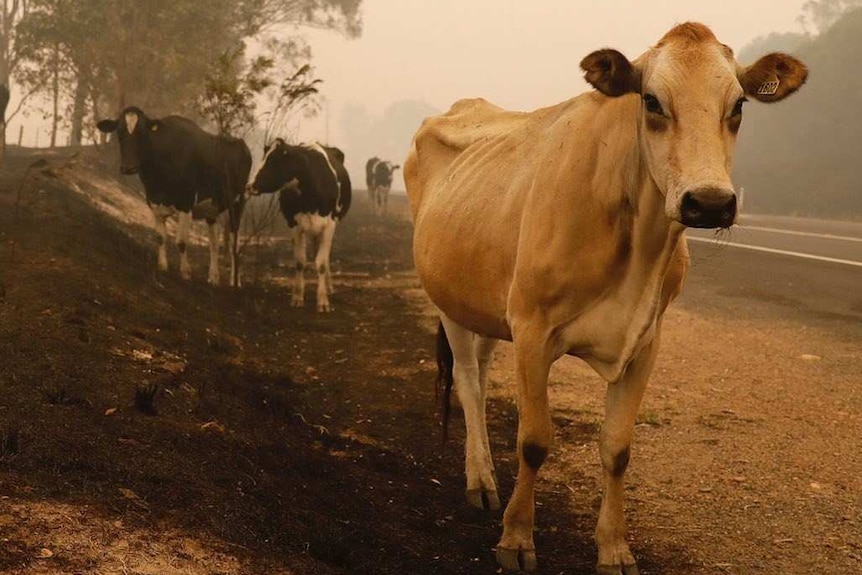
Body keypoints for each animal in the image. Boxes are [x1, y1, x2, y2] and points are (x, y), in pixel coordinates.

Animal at [99, 107, 253, 286]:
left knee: (234, 241)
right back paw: (213, 277)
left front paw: (185, 272)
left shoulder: (186, 203)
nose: (128, 168)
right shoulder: (155, 203)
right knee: (214, 242)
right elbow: (160, 237)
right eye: (119, 132)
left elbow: (181, 241)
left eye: (143, 133)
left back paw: (235, 282)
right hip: (211, 207)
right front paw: (162, 266)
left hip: (239, 201)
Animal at [246, 138, 352, 312]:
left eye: (274, 160)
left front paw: (323, 301)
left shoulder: (329, 224)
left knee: (325, 257)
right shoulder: (294, 224)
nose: (249, 186)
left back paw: (329, 287)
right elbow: (300, 262)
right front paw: (297, 297)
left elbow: (321, 263)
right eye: (264, 156)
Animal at [408, 23, 808, 575]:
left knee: (482, 377)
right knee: (468, 384)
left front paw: (615, 548)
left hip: (484, 301)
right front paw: (516, 539)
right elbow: (534, 440)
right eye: (652, 101)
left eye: (739, 104)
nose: (709, 202)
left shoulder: (645, 341)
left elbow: (618, 448)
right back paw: (481, 482)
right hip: (447, 300)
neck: (638, 247)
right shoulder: (532, 328)